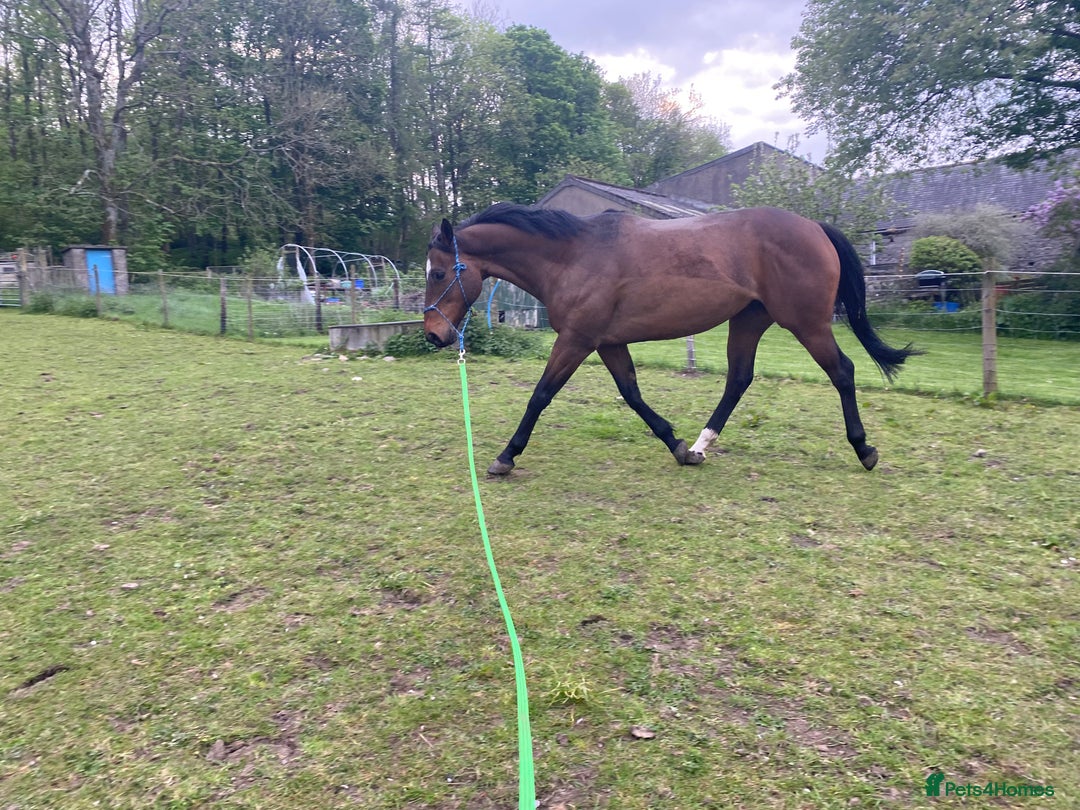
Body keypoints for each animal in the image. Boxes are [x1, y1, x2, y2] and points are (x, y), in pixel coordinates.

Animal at [424, 203, 919, 476]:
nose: (433, 335)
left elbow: (540, 395)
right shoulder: (606, 342)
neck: (571, 256)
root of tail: (815, 227)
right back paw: (700, 446)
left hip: (807, 324)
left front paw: (506, 456)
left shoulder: (577, 340)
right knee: (739, 379)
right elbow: (632, 393)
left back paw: (864, 449)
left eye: (439, 273)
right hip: (748, 322)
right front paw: (677, 445)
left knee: (843, 371)